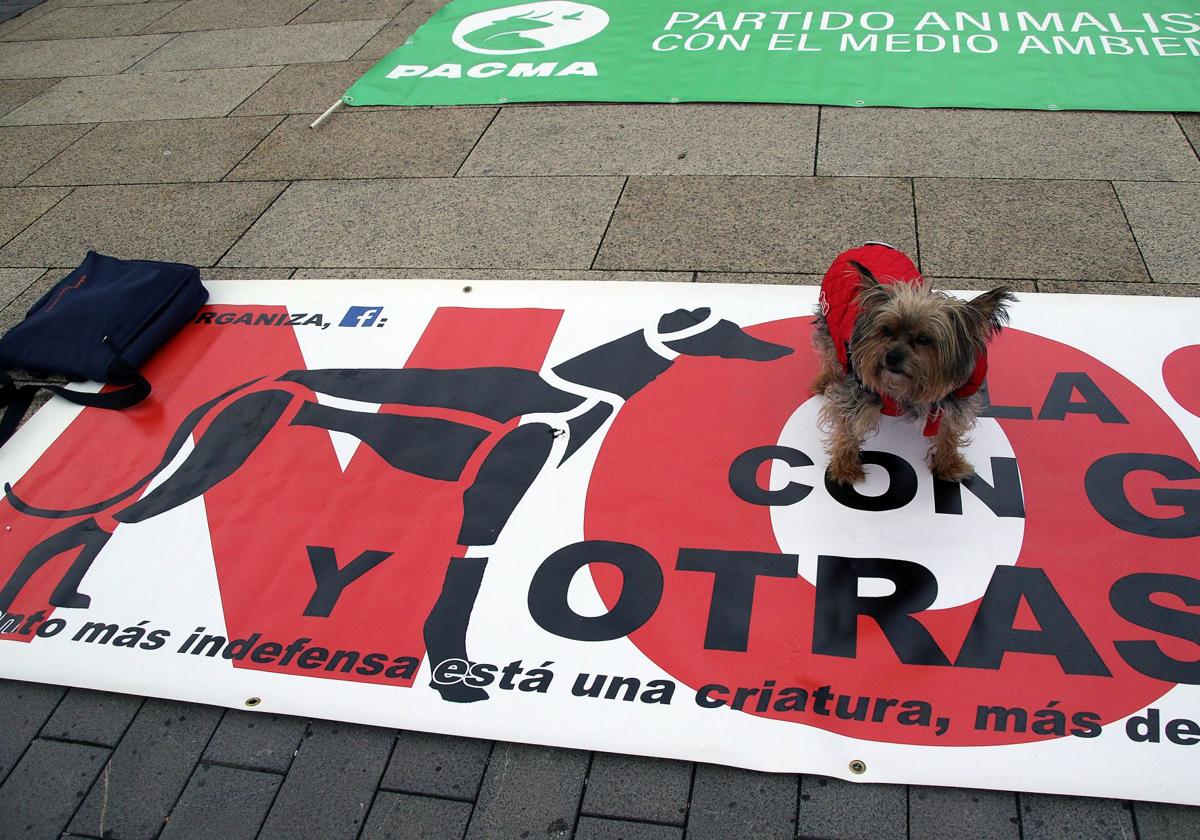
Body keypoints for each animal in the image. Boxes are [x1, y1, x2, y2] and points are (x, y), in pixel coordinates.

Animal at [816, 242, 1012, 484]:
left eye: (924, 340)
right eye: (886, 330)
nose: (892, 357)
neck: (907, 391)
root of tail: (867, 244)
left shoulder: (953, 400)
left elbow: (949, 432)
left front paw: (949, 463)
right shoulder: (856, 391)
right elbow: (846, 427)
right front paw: (845, 467)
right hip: (828, 323)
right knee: (828, 352)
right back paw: (825, 379)